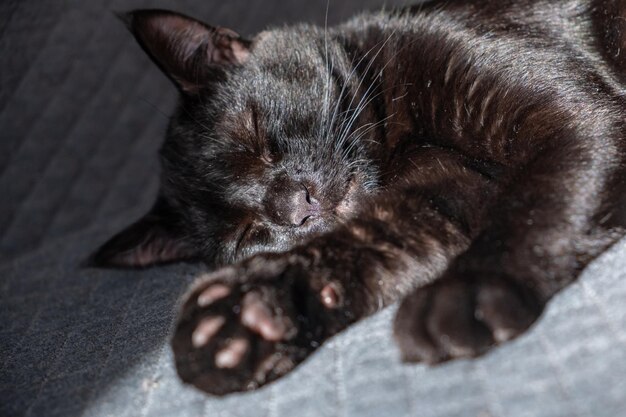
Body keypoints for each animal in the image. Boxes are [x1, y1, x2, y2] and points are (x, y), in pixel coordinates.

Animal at [91, 0, 624, 394]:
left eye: (255, 136)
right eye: (245, 233)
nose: (294, 206)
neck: (403, 139)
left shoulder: (574, 117)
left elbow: (535, 198)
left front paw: (469, 292)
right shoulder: (439, 197)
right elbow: (361, 244)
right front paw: (243, 319)